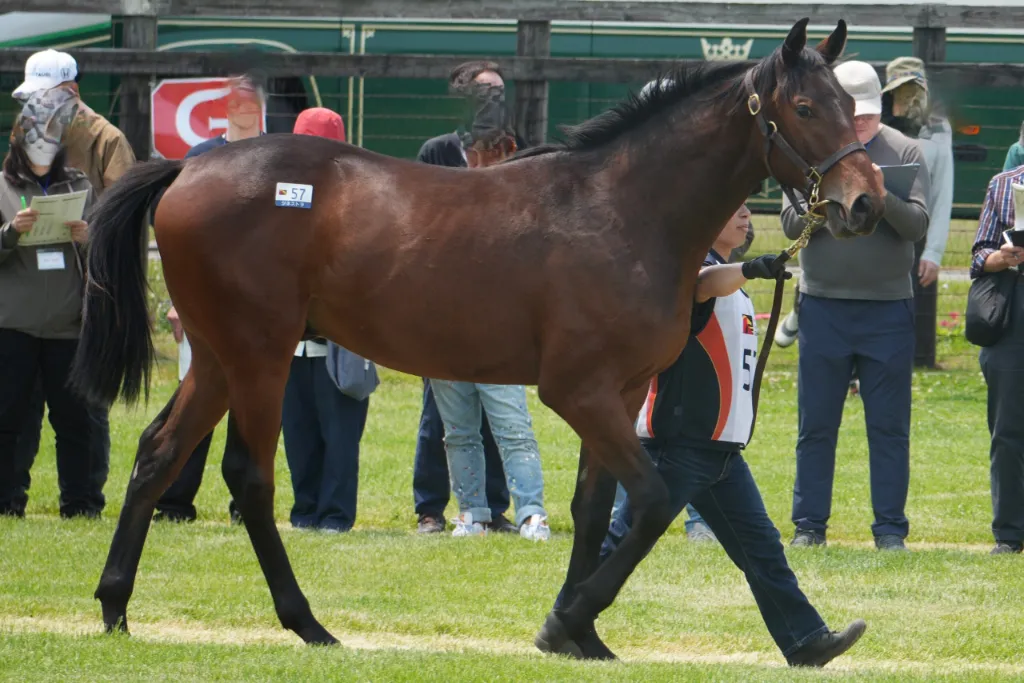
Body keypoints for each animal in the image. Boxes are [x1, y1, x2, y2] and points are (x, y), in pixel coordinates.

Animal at [70, 18, 883, 655]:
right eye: (805, 106)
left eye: (851, 105)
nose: (866, 204)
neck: (622, 210)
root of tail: (186, 170)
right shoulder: (577, 391)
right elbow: (652, 501)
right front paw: (569, 621)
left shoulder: (617, 393)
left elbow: (593, 510)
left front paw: (580, 635)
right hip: (259, 355)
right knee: (250, 475)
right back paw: (307, 623)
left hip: (214, 356)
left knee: (157, 453)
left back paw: (115, 606)